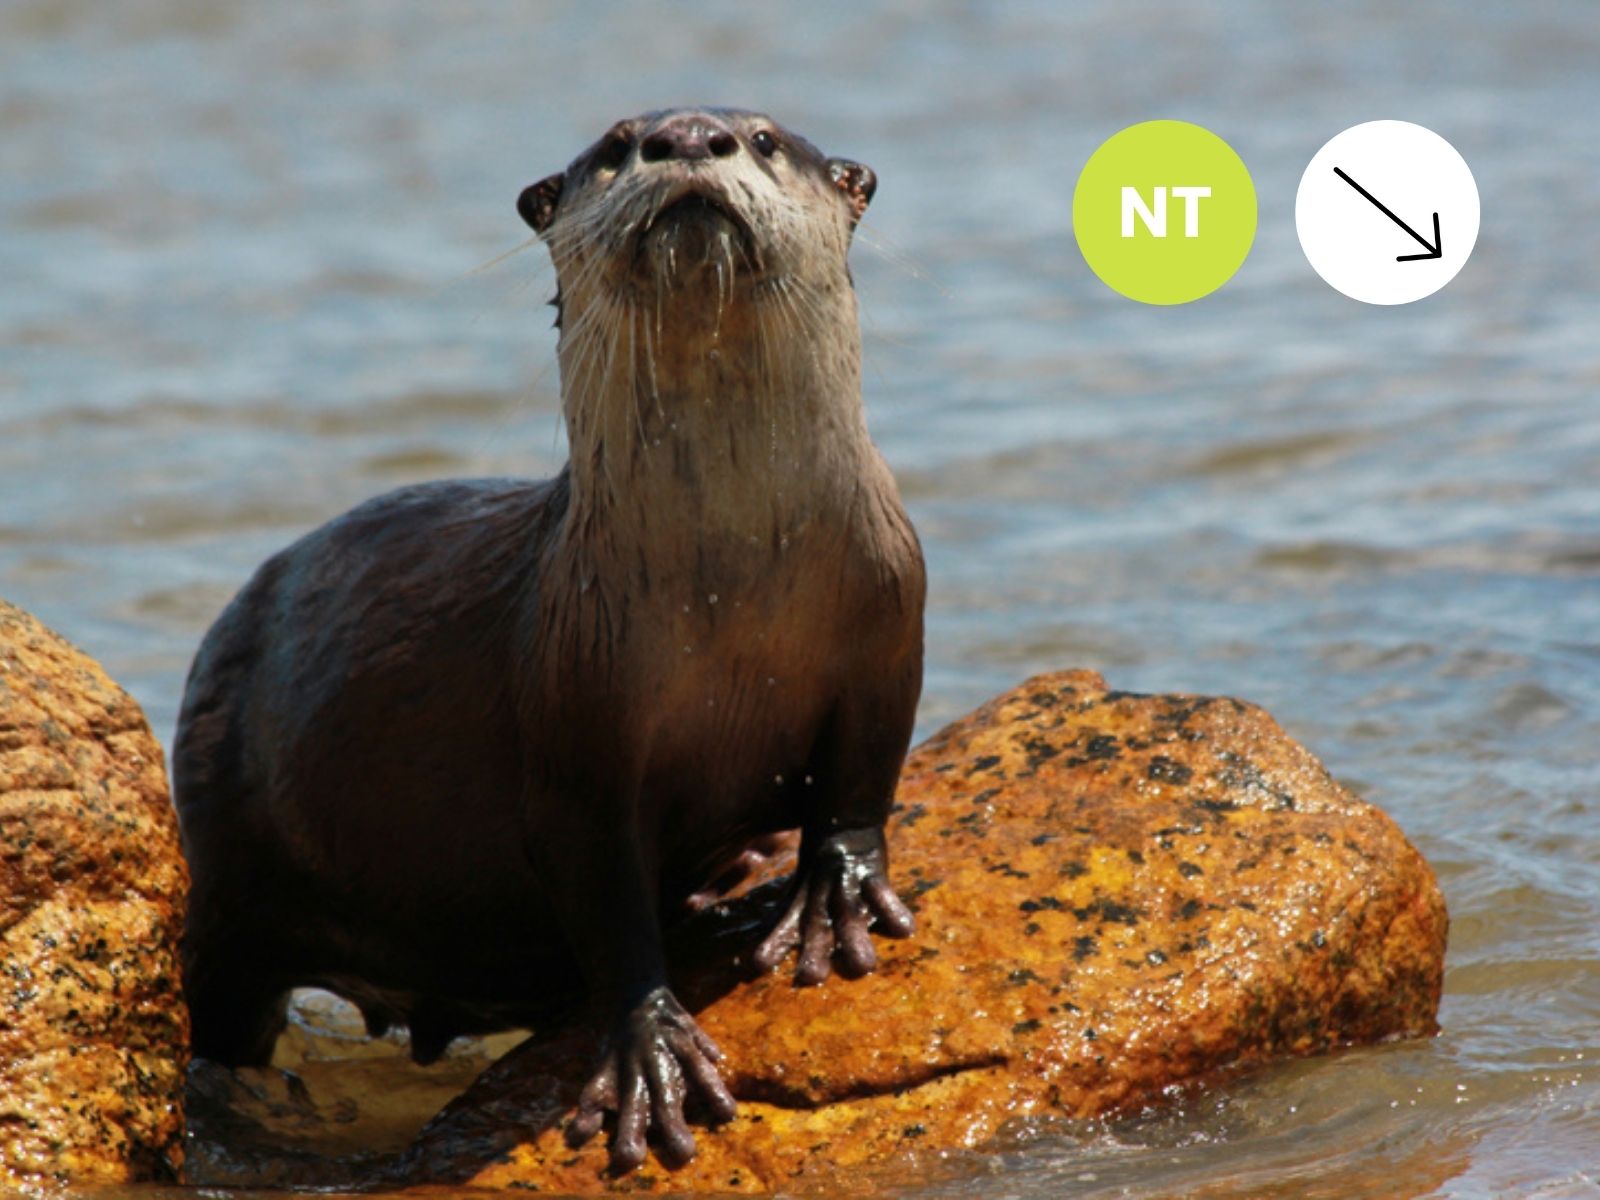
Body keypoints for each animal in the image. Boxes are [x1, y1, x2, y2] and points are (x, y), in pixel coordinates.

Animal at [172, 107, 924, 1172]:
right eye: (618, 144)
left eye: (765, 138)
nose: (689, 137)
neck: (733, 589)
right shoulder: (576, 715)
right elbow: (602, 892)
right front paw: (652, 1049)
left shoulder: (890, 616)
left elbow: (864, 772)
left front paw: (838, 897)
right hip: (226, 874)